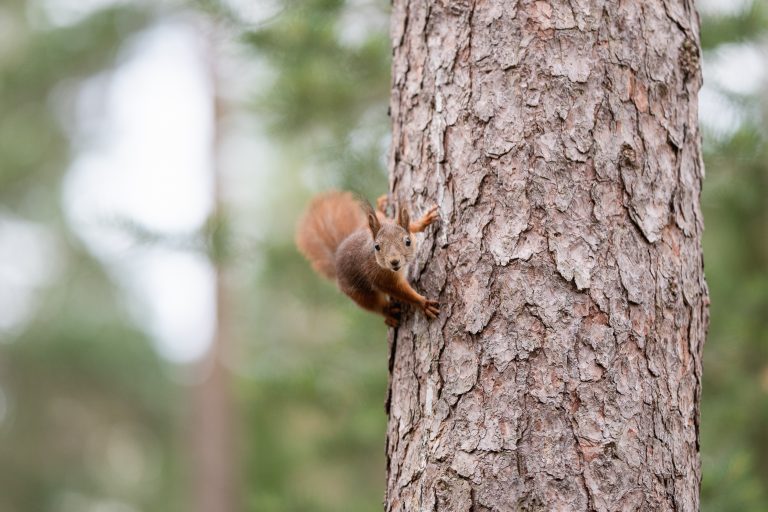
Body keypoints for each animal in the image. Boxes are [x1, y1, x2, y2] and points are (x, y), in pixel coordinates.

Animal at [294, 190, 438, 326]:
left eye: (408, 242)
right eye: (377, 247)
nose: (394, 261)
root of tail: (337, 256)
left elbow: (410, 226)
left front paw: (423, 221)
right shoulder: (383, 279)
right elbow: (402, 292)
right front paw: (423, 303)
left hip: (366, 226)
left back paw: (381, 205)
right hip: (361, 295)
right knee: (375, 306)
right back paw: (388, 314)